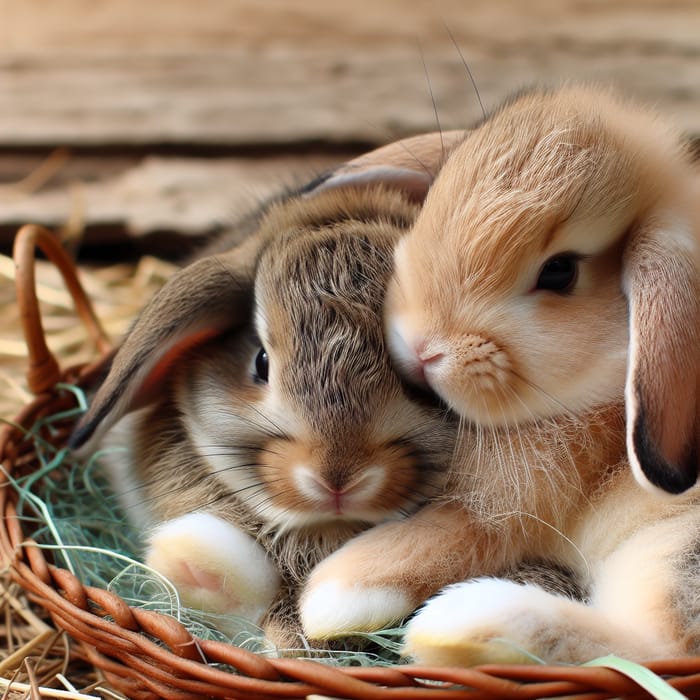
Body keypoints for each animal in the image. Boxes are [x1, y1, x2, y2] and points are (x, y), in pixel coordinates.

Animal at [298, 85, 700, 664]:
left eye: (561, 271)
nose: (421, 345)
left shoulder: (495, 510)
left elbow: (431, 538)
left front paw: (329, 599)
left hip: (667, 550)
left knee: (657, 648)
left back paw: (461, 623)